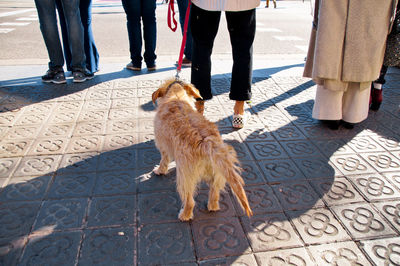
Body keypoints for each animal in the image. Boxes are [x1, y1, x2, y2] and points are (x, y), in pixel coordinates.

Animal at [152, 79, 252, 222]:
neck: (176, 96)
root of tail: (207, 142)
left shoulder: (163, 146)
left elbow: (163, 161)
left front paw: (160, 170)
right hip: (217, 172)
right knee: (215, 191)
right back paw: (213, 206)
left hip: (184, 178)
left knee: (190, 201)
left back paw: (185, 215)